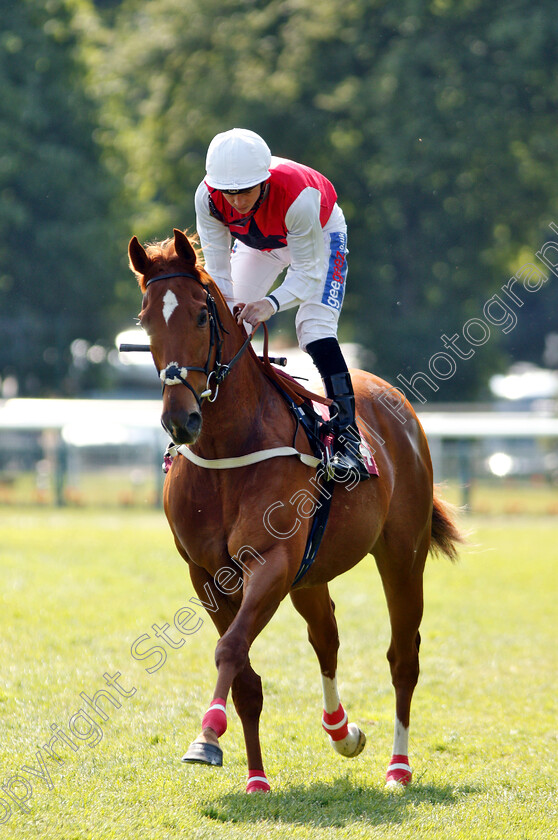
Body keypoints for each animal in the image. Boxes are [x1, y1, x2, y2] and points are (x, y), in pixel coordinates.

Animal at [129, 230, 462, 796]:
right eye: (146, 318)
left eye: (199, 316)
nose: (180, 420)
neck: (228, 448)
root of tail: (397, 402)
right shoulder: (208, 574)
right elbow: (245, 673)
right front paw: (255, 777)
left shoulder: (272, 561)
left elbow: (231, 649)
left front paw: (206, 736)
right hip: (313, 572)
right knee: (326, 637)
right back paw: (342, 731)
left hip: (401, 554)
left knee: (403, 656)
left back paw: (398, 768)